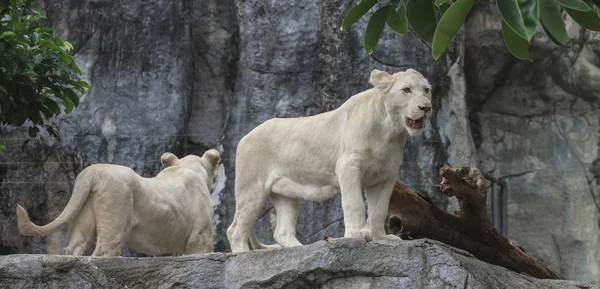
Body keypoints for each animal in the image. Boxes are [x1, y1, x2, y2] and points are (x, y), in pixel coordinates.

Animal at [15, 150, 220, 255]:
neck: (188, 169)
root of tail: (92, 171)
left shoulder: (165, 244)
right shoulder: (200, 235)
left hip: (84, 214)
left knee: (74, 247)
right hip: (116, 203)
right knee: (104, 250)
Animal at [227, 68, 434, 251]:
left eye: (426, 90)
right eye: (406, 90)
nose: (426, 108)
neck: (390, 130)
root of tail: (246, 136)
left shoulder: (386, 176)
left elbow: (379, 210)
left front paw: (381, 238)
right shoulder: (348, 165)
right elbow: (355, 202)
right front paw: (358, 234)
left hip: (286, 194)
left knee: (282, 232)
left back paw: (300, 249)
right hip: (252, 188)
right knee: (235, 229)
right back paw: (242, 255)